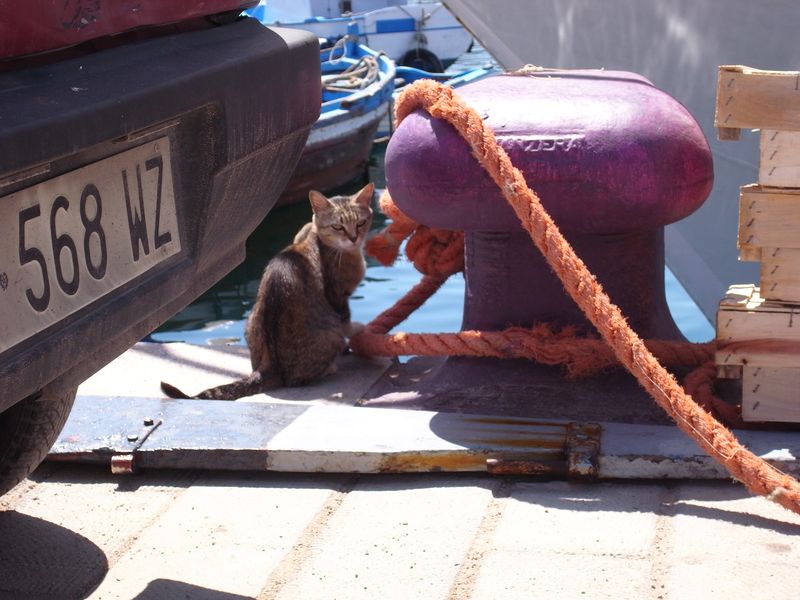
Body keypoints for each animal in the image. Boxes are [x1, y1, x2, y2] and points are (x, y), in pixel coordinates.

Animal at [163, 183, 378, 398]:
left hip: (251, 320)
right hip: (330, 334)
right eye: (338, 227)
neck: (319, 240)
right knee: (300, 378)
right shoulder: (337, 295)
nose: (353, 238)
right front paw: (356, 329)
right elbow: (346, 319)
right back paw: (329, 367)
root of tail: (269, 368)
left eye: (360, 223)